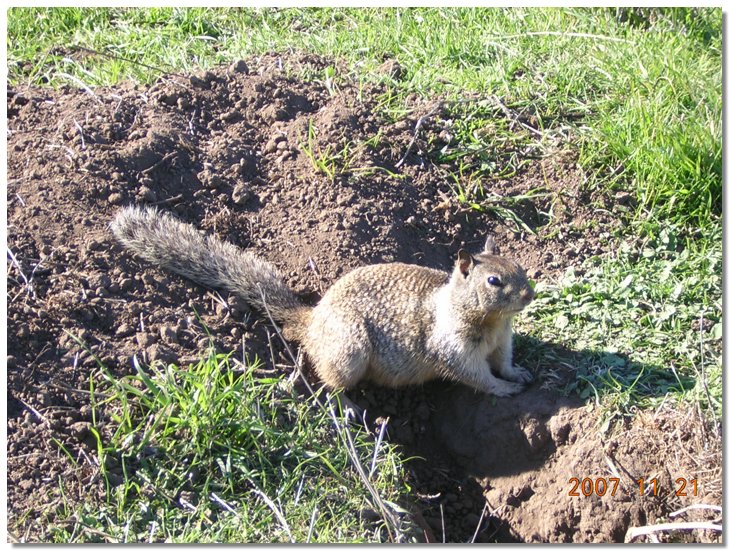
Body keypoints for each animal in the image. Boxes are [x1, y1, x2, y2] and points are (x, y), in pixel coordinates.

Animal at [112, 206, 536, 396]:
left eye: (521, 267)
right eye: (494, 281)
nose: (530, 294)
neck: (491, 321)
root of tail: (312, 320)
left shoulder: (502, 341)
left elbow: (503, 362)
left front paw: (518, 375)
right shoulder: (454, 346)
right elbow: (475, 375)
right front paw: (504, 390)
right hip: (348, 352)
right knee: (329, 384)